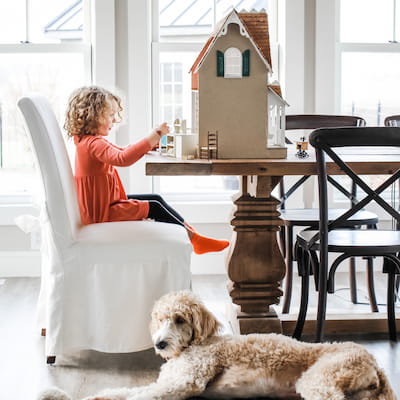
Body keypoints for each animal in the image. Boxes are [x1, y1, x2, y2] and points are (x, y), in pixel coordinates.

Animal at [38, 290, 396, 400]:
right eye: (160, 318)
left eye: (180, 319)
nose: (160, 344)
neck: (195, 346)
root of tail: (374, 360)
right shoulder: (167, 381)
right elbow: (118, 392)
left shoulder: (185, 382)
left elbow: (138, 397)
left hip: (318, 380)